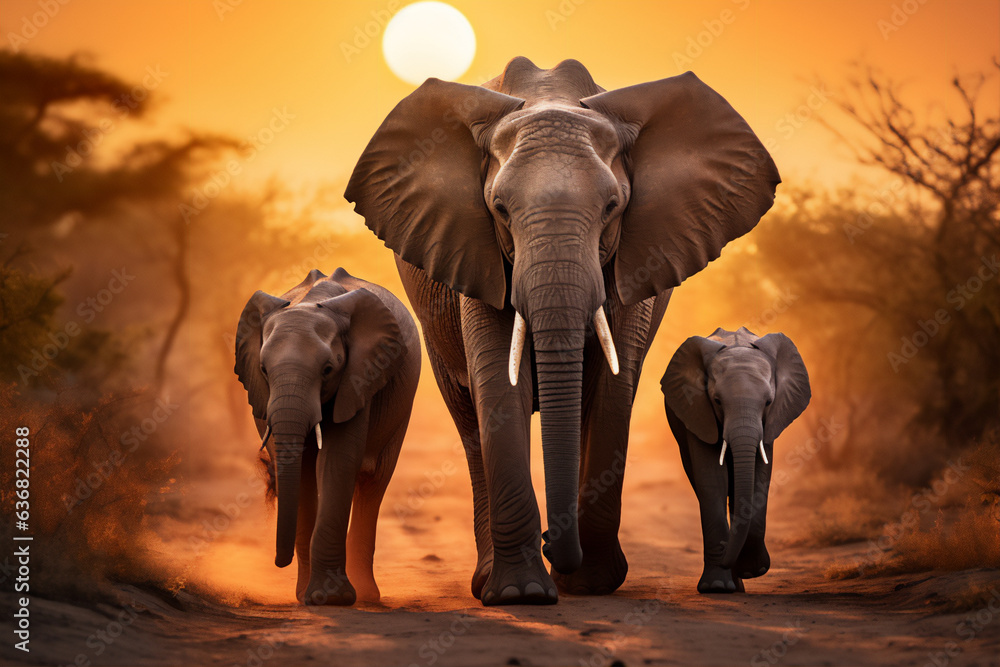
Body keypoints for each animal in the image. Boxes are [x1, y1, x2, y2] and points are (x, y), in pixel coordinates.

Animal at [234, 267, 420, 605]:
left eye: (328, 369)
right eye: (264, 370)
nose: (279, 562)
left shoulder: (360, 377)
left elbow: (336, 461)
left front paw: (331, 599)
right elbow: (303, 470)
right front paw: (310, 596)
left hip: (401, 407)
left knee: (374, 481)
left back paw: (367, 596)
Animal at [345, 57, 779, 605]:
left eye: (612, 207)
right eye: (500, 209)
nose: (554, 541)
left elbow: (612, 389)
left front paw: (590, 583)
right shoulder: (478, 253)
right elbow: (498, 387)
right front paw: (521, 593)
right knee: (469, 424)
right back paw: (489, 580)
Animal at [661, 327, 810, 594]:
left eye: (768, 402)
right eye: (717, 401)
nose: (726, 558)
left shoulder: (770, 422)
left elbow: (759, 478)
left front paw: (751, 570)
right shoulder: (697, 409)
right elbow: (713, 481)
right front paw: (717, 586)